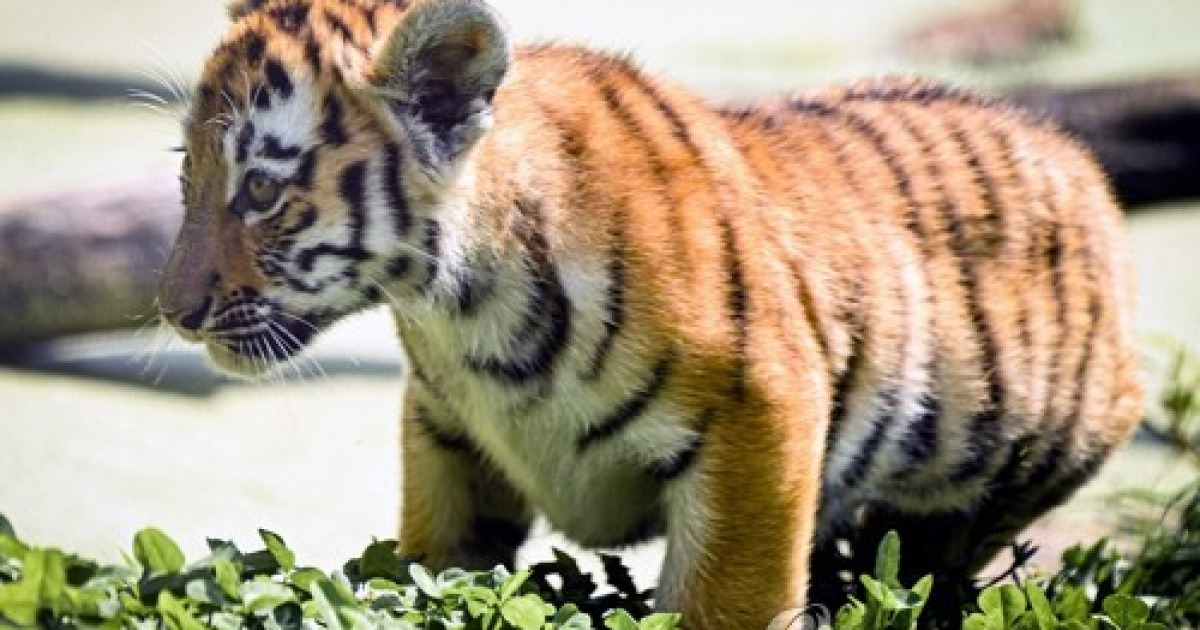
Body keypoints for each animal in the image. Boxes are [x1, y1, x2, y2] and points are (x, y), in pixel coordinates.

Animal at [156, 0, 1144, 627]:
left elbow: (725, 602)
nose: (173, 312)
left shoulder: (762, 420)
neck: (459, 310)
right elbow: (435, 570)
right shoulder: (445, 432)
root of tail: (1074, 151)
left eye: (261, 191)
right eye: (187, 173)